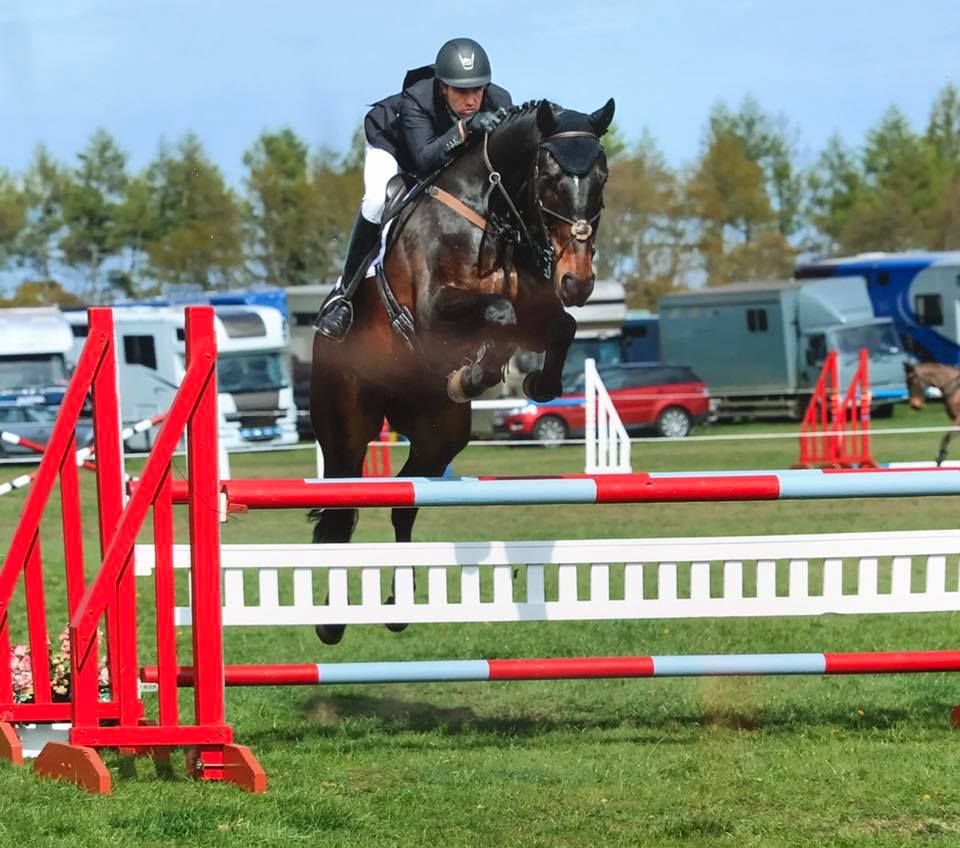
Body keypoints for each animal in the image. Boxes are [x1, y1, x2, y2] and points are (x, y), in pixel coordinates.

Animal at [312, 97, 620, 644]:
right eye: (548, 177)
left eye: (602, 176)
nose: (578, 281)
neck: (491, 211)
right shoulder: (433, 313)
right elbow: (498, 311)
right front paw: (476, 373)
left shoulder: (538, 308)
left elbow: (556, 326)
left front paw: (530, 381)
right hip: (346, 428)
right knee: (341, 508)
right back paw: (331, 623)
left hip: (438, 435)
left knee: (405, 500)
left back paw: (398, 607)